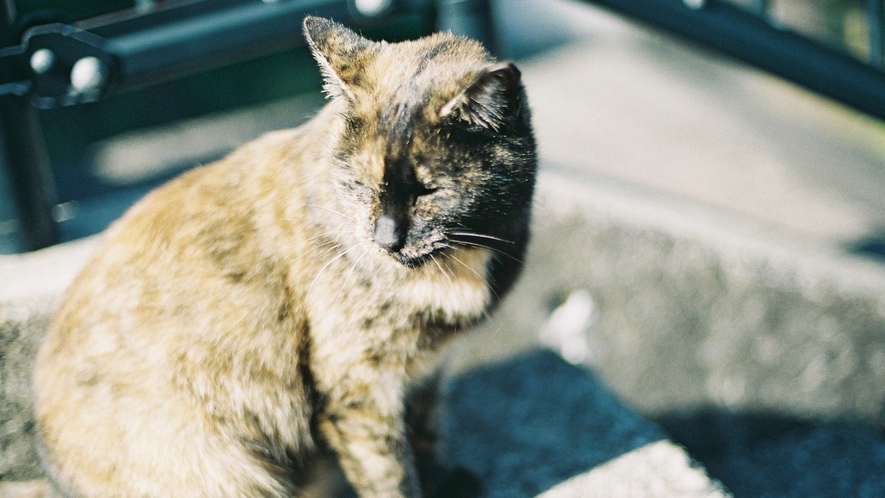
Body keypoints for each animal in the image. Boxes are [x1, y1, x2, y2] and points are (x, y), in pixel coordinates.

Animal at [32, 15, 532, 498]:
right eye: (361, 186)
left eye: (428, 192)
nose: (386, 239)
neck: (461, 261)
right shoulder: (358, 389)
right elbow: (389, 472)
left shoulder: (426, 373)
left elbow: (426, 429)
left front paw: (444, 479)